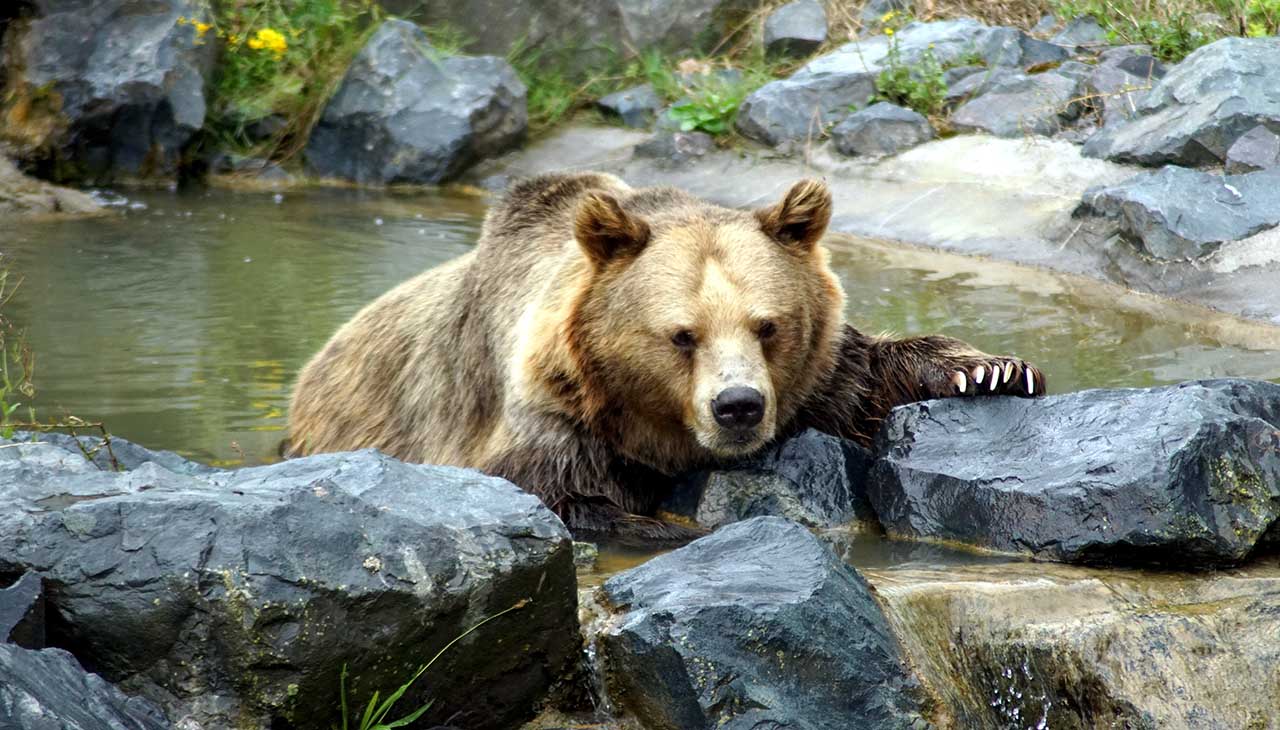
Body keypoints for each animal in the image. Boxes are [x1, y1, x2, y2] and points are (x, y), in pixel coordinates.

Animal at [288, 172, 1039, 540]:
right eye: (682, 334)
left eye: (768, 326)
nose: (739, 406)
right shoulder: (552, 420)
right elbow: (548, 493)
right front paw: (651, 525)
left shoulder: (816, 379)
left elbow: (864, 377)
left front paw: (990, 370)